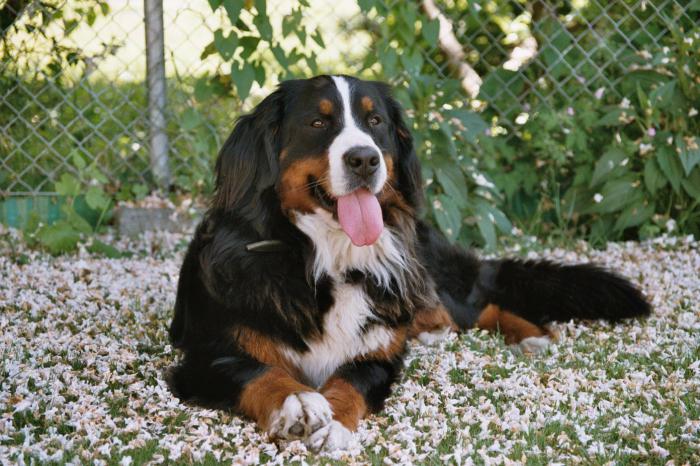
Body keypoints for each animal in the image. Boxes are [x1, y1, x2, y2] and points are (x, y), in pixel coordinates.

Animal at [165, 74, 652, 450]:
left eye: (375, 121)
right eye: (318, 122)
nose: (364, 158)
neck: (324, 257)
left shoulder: (376, 356)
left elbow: (350, 383)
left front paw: (335, 423)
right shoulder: (208, 355)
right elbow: (258, 372)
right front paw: (297, 401)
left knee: (479, 305)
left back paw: (528, 335)